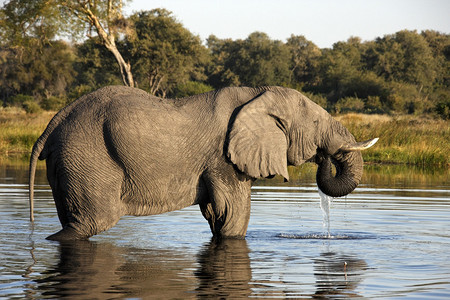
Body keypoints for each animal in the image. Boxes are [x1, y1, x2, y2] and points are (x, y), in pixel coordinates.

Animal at [28, 85, 378, 240]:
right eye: (317, 123)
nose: (324, 157)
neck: (258, 94)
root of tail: (52, 124)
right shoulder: (223, 160)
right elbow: (234, 217)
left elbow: (216, 215)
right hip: (88, 157)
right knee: (92, 222)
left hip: (70, 161)